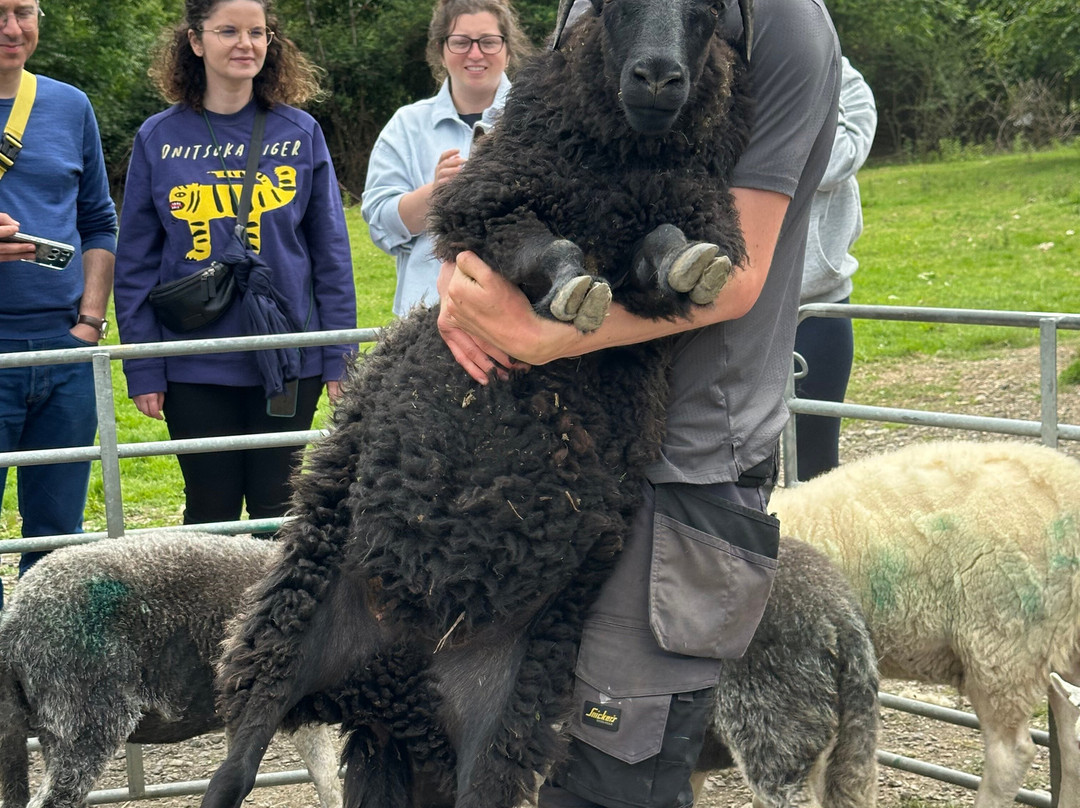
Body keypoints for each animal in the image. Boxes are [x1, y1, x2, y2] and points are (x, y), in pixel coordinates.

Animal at [200, 2, 755, 808]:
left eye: (707, 17)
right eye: (614, 9)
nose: (658, 77)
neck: (620, 167)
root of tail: (390, 696)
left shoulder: (656, 269)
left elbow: (660, 251)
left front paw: (693, 263)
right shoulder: (490, 212)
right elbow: (540, 247)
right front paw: (576, 290)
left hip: (500, 721)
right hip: (285, 628)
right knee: (234, 766)